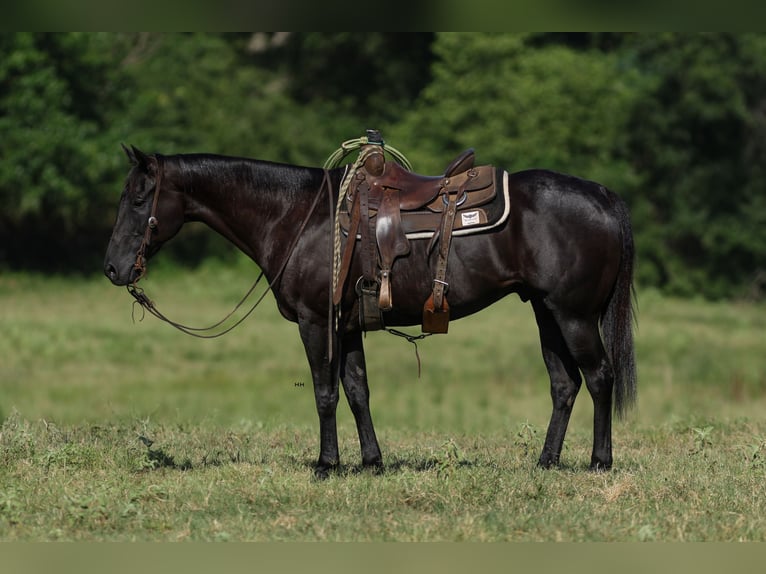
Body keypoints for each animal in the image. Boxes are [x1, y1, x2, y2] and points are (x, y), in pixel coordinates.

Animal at [105, 146, 640, 480]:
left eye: (138, 197)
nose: (112, 267)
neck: (298, 217)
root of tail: (603, 196)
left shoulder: (316, 323)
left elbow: (325, 393)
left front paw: (327, 465)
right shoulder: (347, 327)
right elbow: (357, 390)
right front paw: (371, 461)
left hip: (573, 315)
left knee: (599, 377)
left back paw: (599, 461)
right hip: (546, 313)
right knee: (564, 384)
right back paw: (546, 462)